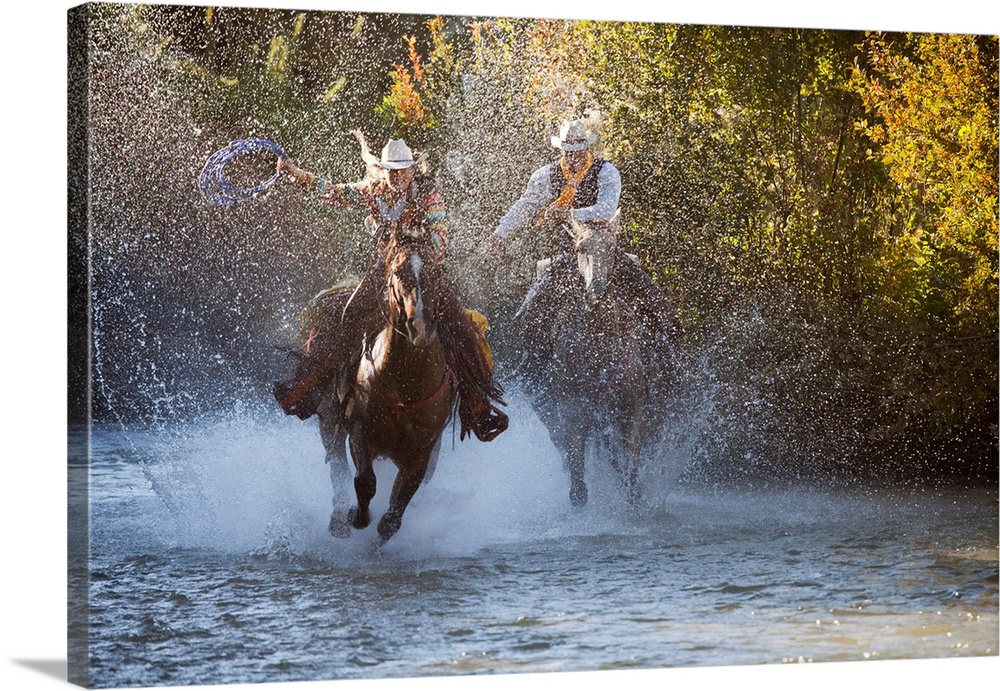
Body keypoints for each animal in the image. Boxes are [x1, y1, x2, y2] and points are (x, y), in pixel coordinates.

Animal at [316, 238, 458, 548]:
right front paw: (357, 517)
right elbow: (364, 481)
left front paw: (381, 535)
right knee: (337, 465)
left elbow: (396, 509)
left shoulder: (423, 451)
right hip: (329, 418)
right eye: (398, 272)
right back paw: (338, 521)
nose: (421, 326)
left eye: (436, 273)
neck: (406, 384)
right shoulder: (360, 429)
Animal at [516, 212, 680, 508]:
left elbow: (631, 476)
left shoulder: (631, 415)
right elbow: (578, 487)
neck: (599, 355)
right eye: (581, 248)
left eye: (612, 249)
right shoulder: (573, 417)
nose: (596, 291)